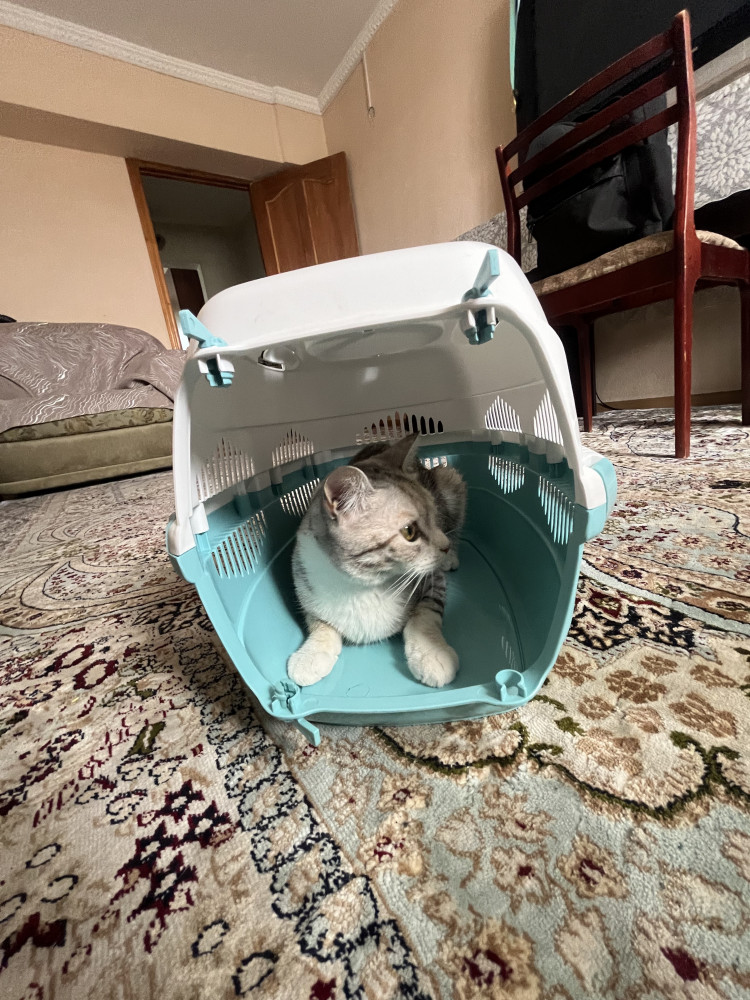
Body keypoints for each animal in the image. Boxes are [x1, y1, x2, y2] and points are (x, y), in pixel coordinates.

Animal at [287, 433, 466, 688]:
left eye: (435, 517)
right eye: (409, 532)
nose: (444, 546)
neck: (363, 585)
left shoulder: (433, 579)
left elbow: (426, 612)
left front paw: (432, 654)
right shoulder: (303, 581)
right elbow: (320, 623)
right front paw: (310, 656)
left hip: (451, 480)